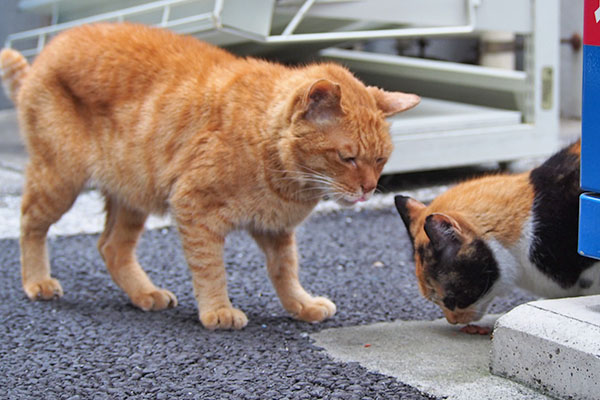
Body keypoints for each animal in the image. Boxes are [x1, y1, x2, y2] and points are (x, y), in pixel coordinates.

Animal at [0, 21, 420, 330]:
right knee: (30, 223)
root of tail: (50, 48)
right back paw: (37, 281)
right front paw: (217, 310)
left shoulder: (275, 228)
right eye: (347, 158)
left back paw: (145, 294)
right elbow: (210, 268)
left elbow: (285, 271)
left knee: (111, 247)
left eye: (380, 159)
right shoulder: (193, 208)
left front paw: (300, 305)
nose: (369, 189)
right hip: (60, 179)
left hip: (132, 192)